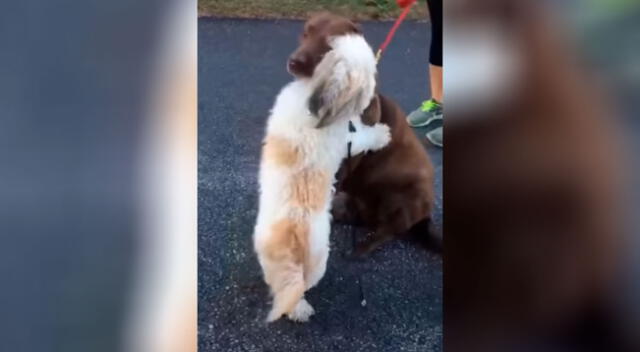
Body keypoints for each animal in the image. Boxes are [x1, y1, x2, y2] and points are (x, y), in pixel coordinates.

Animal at [252, 34, 388, 324]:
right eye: (369, 72)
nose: (373, 89)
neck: (315, 103)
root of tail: (292, 232)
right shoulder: (348, 138)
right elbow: (364, 135)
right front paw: (382, 133)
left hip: (272, 259)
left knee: (282, 285)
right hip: (317, 259)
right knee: (301, 286)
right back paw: (301, 309)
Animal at [290, 12, 440, 256]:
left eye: (332, 43)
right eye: (306, 32)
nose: (295, 62)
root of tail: (424, 219)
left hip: (404, 195)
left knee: (389, 230)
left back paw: (361, 247)